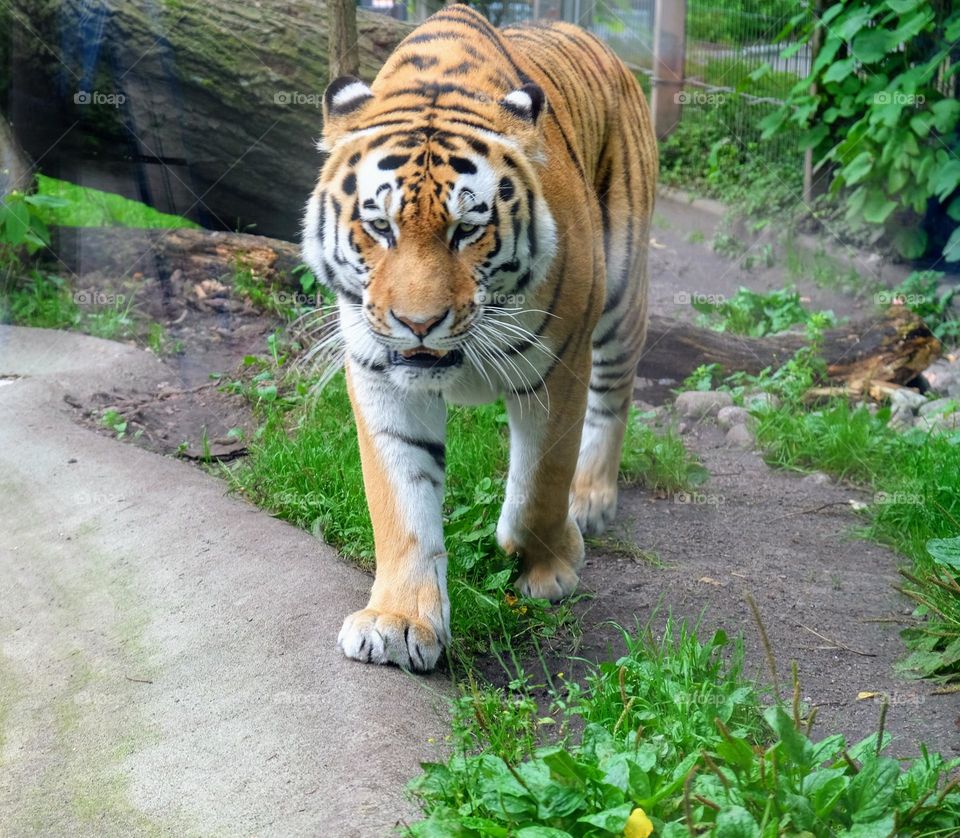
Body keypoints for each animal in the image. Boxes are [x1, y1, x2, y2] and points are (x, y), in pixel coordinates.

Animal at [304, 0, 656, 668]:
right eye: (380, 226)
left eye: (467, 229)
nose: (418, 323)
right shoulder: (380, 374)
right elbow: (400, 500)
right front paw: (399, 621)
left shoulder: (559, 365)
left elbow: (538, 487)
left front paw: (552, 563)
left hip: (622, 297)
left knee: (614, 398)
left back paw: (592, 498)